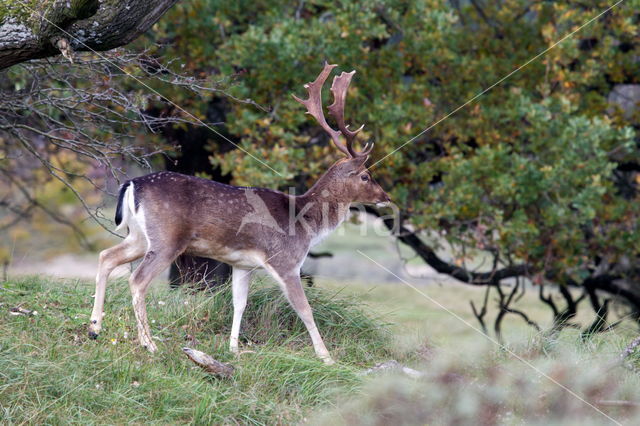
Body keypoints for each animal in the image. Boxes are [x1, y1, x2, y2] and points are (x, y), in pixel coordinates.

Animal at [89, 62, 390, 362]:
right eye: (366, 176)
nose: (385, 197)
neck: (306, 224)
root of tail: (131, 183)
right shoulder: (286, 260)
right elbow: (304, 309)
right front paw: (326, 357)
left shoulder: (242, 264)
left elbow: (240, 303)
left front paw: (233, 348)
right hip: (167, 238)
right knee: (137, 280)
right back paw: (148, 344)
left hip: (140, 236)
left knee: (106, 256)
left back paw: (94, 327)